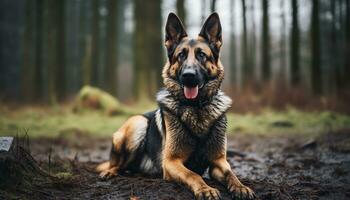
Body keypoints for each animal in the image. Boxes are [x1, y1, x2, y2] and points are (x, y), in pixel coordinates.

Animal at [97, 13, 256, 199]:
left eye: (202, 55)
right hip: (138, 124)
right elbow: (192, 174)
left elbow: (231, 174)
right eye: (181, 55)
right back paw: (110, 172)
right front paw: (205, 189)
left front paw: (241, 187)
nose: (189, 75)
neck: (196, 108)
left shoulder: (219, 161)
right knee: (118, 164)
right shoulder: (172, 162)